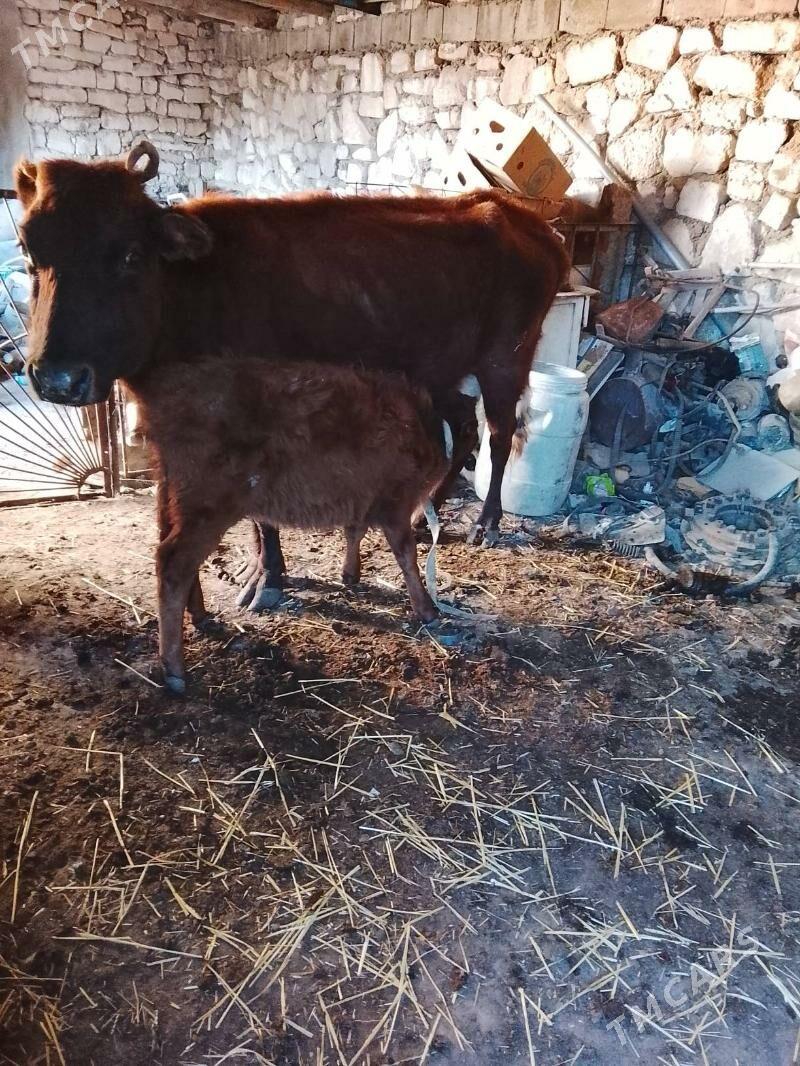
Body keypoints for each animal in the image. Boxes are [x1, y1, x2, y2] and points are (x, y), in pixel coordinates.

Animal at [14, 142, 568, 600]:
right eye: (28, 249)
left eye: (130, 254)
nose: (59, 379)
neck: (194, 284)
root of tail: (530, 223)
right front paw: (258, 568)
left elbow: (260, 506)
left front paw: (267, 577)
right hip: (442, 373)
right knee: (465, 428)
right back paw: (423, 509)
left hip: (505, 362)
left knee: (500, 435)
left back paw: (486, 524)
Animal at [130, 357, 449, 691]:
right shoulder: (396, 500)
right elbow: (406, 555)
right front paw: (426, 608)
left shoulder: (362, 495)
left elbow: (355, 530)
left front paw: (350, 573)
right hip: (208, 500)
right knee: (173, 562)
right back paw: (174, 669)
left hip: (172, 492)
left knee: (167, 544)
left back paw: (199, 617)